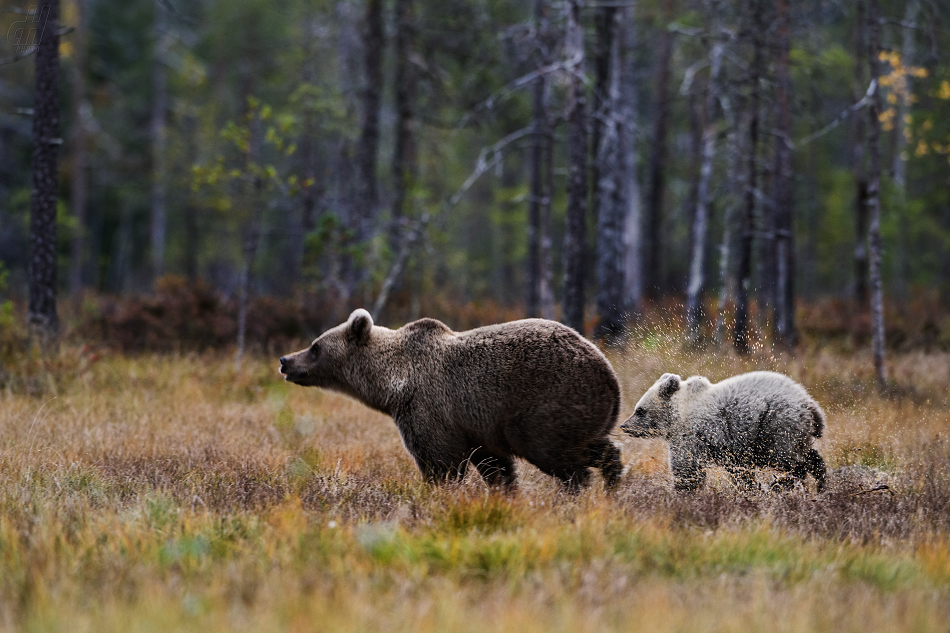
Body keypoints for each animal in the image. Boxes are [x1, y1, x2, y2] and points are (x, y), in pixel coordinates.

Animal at [278, 308, 628, 492]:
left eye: (315, 347)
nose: (285, 360)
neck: (393, 384)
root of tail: (609, 374)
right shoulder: (479, 430)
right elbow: (496, 467)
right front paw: (504, 494)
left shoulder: (429, 411)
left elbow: (440, 462)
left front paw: (435, 493)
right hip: (584, 412)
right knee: (598, 446)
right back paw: (612, 484)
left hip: (548, 403)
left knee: (558, 455)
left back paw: (575, 492)